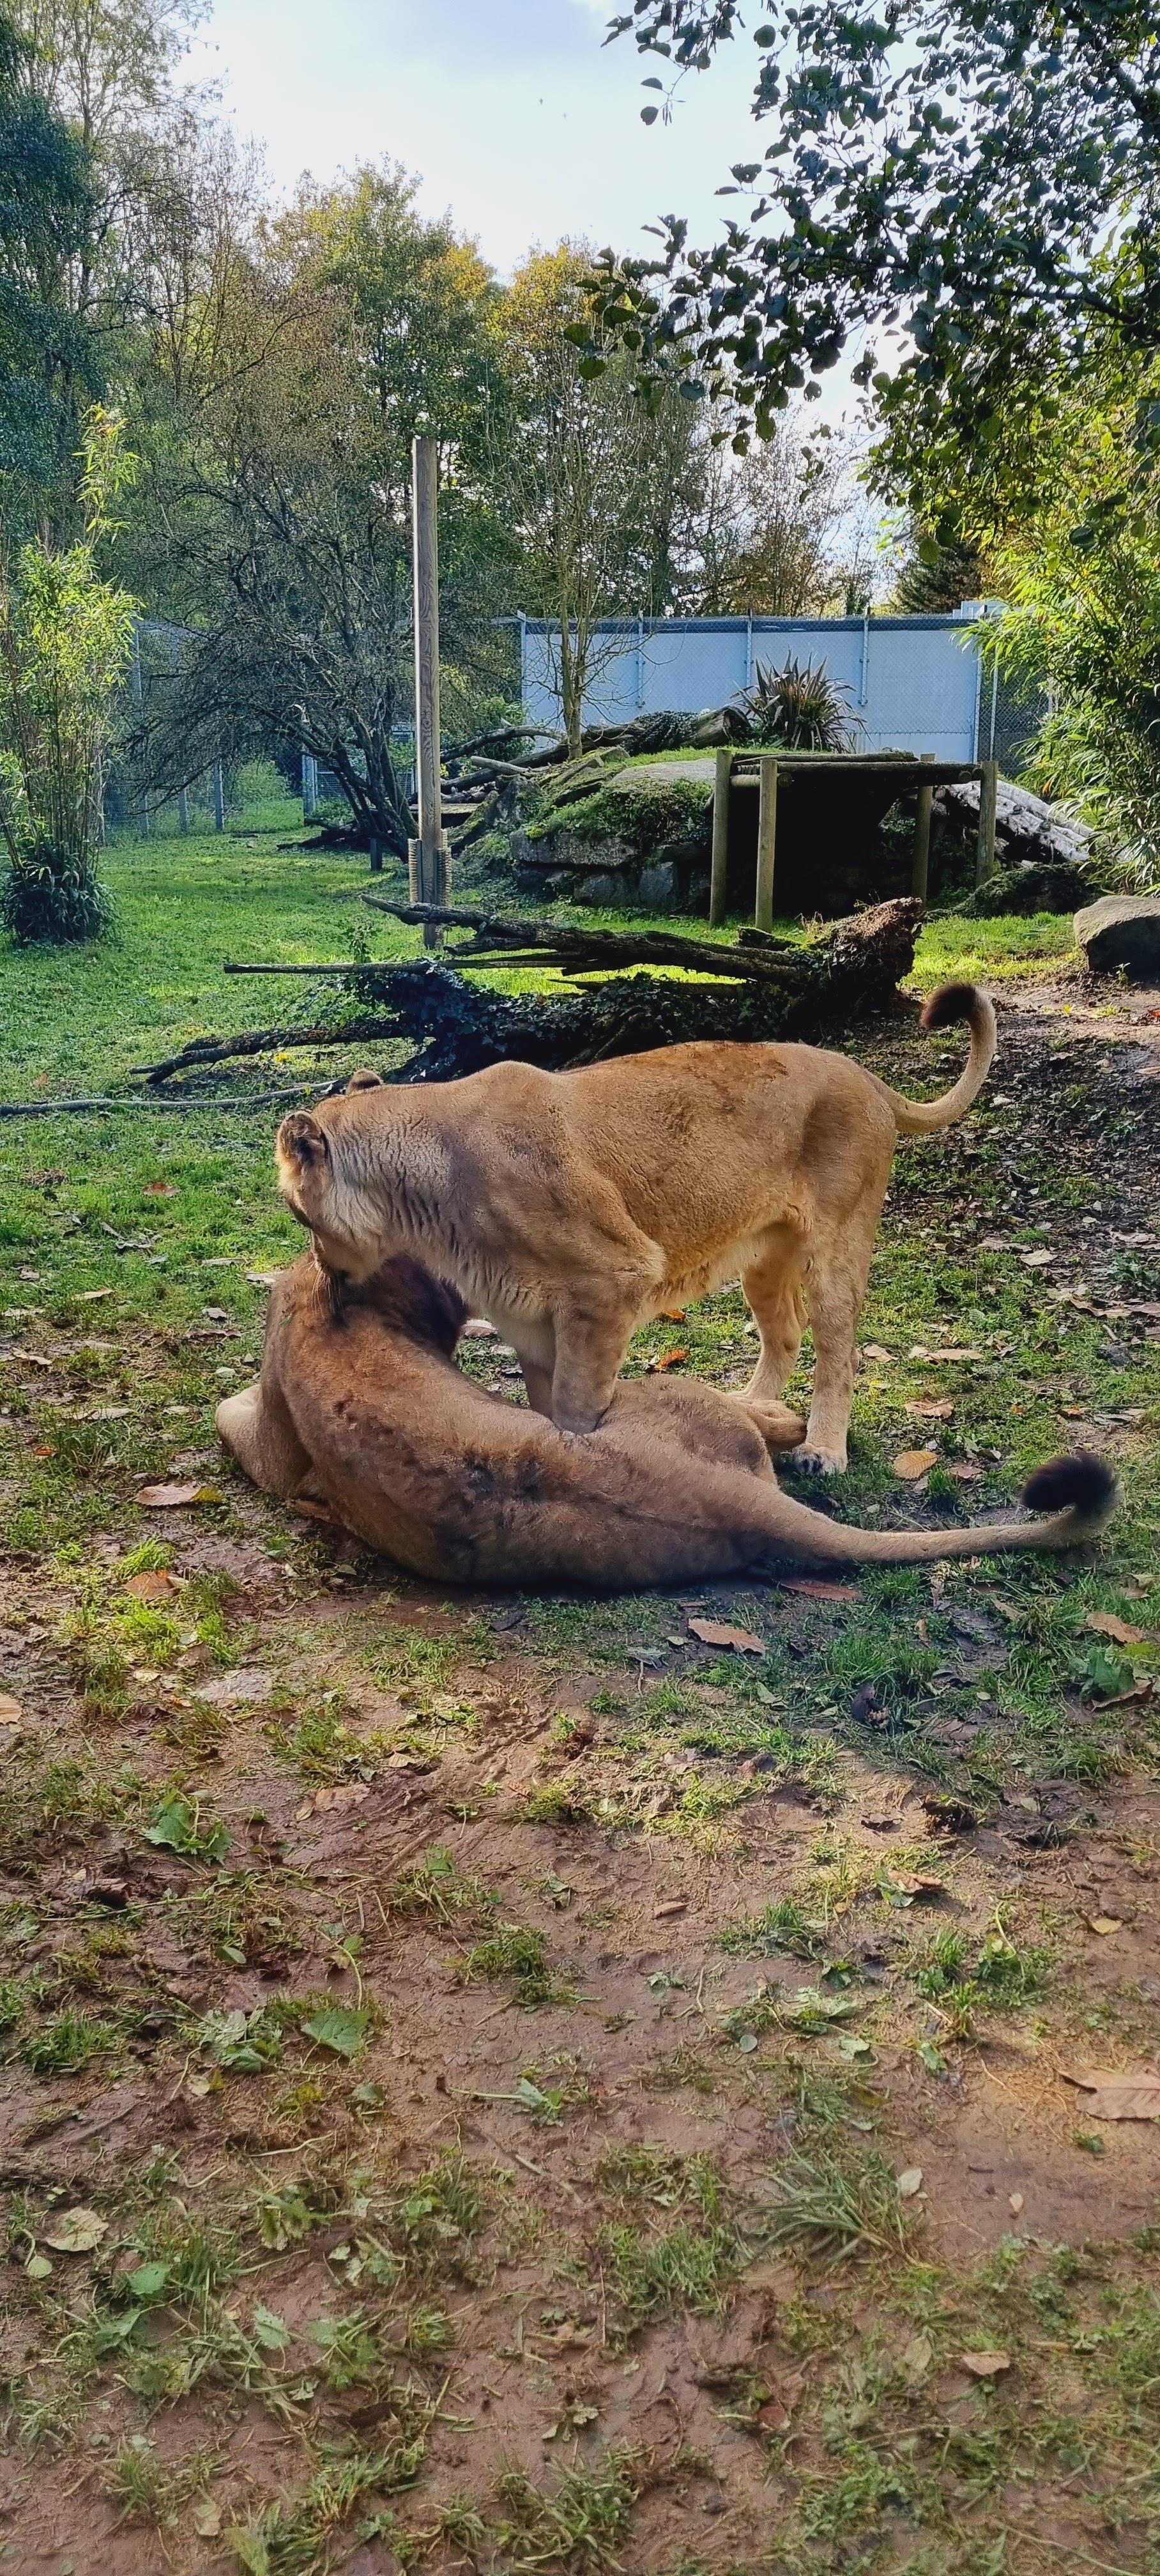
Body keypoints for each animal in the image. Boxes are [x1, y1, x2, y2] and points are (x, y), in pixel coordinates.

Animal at [274, 983, 995, 1477]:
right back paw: (752, 1407)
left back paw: (821, 1450)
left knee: (837, 1352)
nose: (321, 1267)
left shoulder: (613, 1276)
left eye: (300, 1216)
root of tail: (867, 1075)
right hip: (763, 1255)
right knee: (785, 1333)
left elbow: (575, 1409)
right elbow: (544, 1403)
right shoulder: (529, 1314)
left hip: (835, 1249)